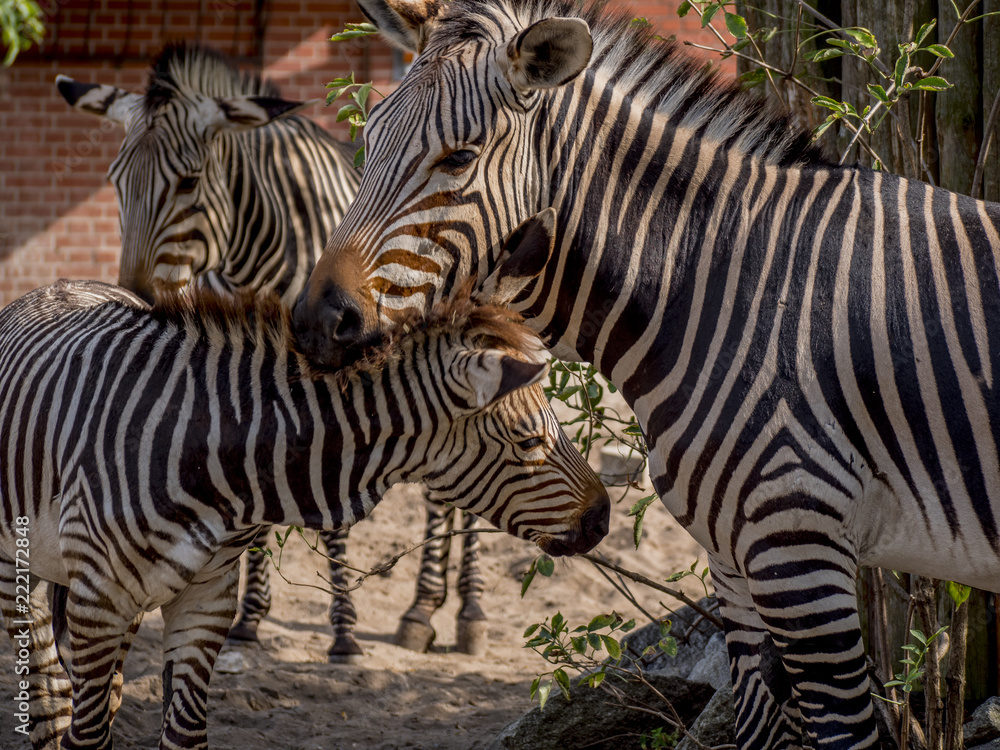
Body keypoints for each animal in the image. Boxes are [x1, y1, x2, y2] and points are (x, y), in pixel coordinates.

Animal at [0, 217, 611, 750]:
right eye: (529, 442)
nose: (603, 518)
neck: (215, 446)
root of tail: (58, 284)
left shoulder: (205, 601)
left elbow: (185, 735)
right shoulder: (99, 601)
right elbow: (84, 732)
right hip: (27, 570)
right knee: (50, 696)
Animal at [56, 42, 492, 661]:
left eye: (189, 182)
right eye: (116, 181)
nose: (136, 297)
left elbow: (333, 521)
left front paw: (344, 631)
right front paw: (250, 618)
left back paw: (460, 611)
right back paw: (425, 609)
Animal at [289, 2, 1000, 749]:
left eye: (459, 156)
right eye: (368, 138)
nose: (315, 323)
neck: (729, 288)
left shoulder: (798, 545)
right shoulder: (737, 563)